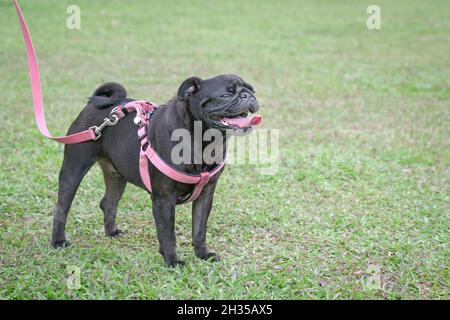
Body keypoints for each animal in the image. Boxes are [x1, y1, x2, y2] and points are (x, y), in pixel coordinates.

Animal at [50, 74, 260, 266]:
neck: (203, 141)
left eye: (252, 90)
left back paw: (111, 233)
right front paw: (172, 260)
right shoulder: (164, 198)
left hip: (117, 176)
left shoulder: (205, 195)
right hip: (74, 169)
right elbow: (167, 232)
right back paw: (58, 241)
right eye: (225, 95)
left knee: (108, 203)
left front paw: (203, 254)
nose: (247, 95)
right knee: (62, 207)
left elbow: (199, 229)